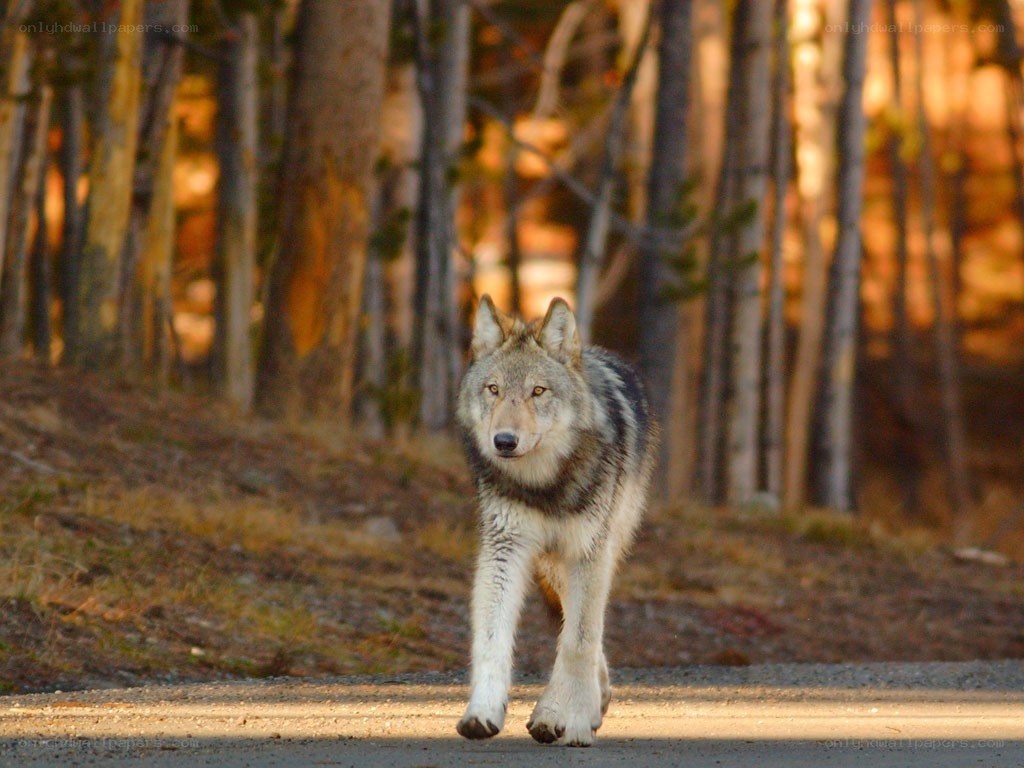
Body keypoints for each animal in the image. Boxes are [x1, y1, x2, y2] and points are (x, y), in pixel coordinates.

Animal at [454, 295, 657, 747]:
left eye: (537, 391)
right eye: (494, 390)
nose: (504, 441)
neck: (545, 485)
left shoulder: (589, 551)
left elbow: (579, 641)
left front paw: (572, 722)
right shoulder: (505, 548)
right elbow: (491, 636)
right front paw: (482, 712)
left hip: (596, 548)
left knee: (584, 630)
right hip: (550, 564)